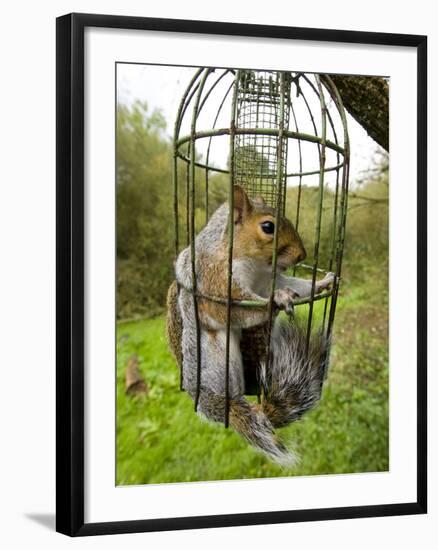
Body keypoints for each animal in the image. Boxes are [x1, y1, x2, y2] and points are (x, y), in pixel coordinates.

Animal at [168, 187, 336, 466]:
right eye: (268, 226)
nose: (301, 255)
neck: (255, 265)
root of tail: (203, 396)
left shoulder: (271, 278)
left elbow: (295, 285)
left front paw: (323, 282)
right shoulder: (216, 280)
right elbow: (237, 309)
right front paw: (277, 299)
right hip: (219, 361)